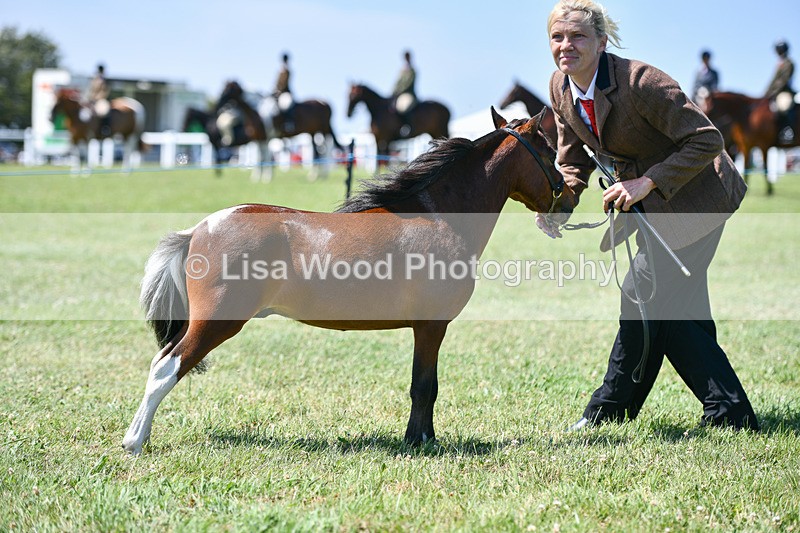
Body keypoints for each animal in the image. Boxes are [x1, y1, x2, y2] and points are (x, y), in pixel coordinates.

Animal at [121, 107, 576, 454]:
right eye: (548, 152)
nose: (569, 198)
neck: (438, 216)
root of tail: (199, 229)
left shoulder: (430, 327)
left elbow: (428, 385)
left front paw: (425, 438)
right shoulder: (431, 326)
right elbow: (423, 386)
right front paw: (419, 442)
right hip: (215, 323)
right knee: (165, 368)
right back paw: (134, 442)